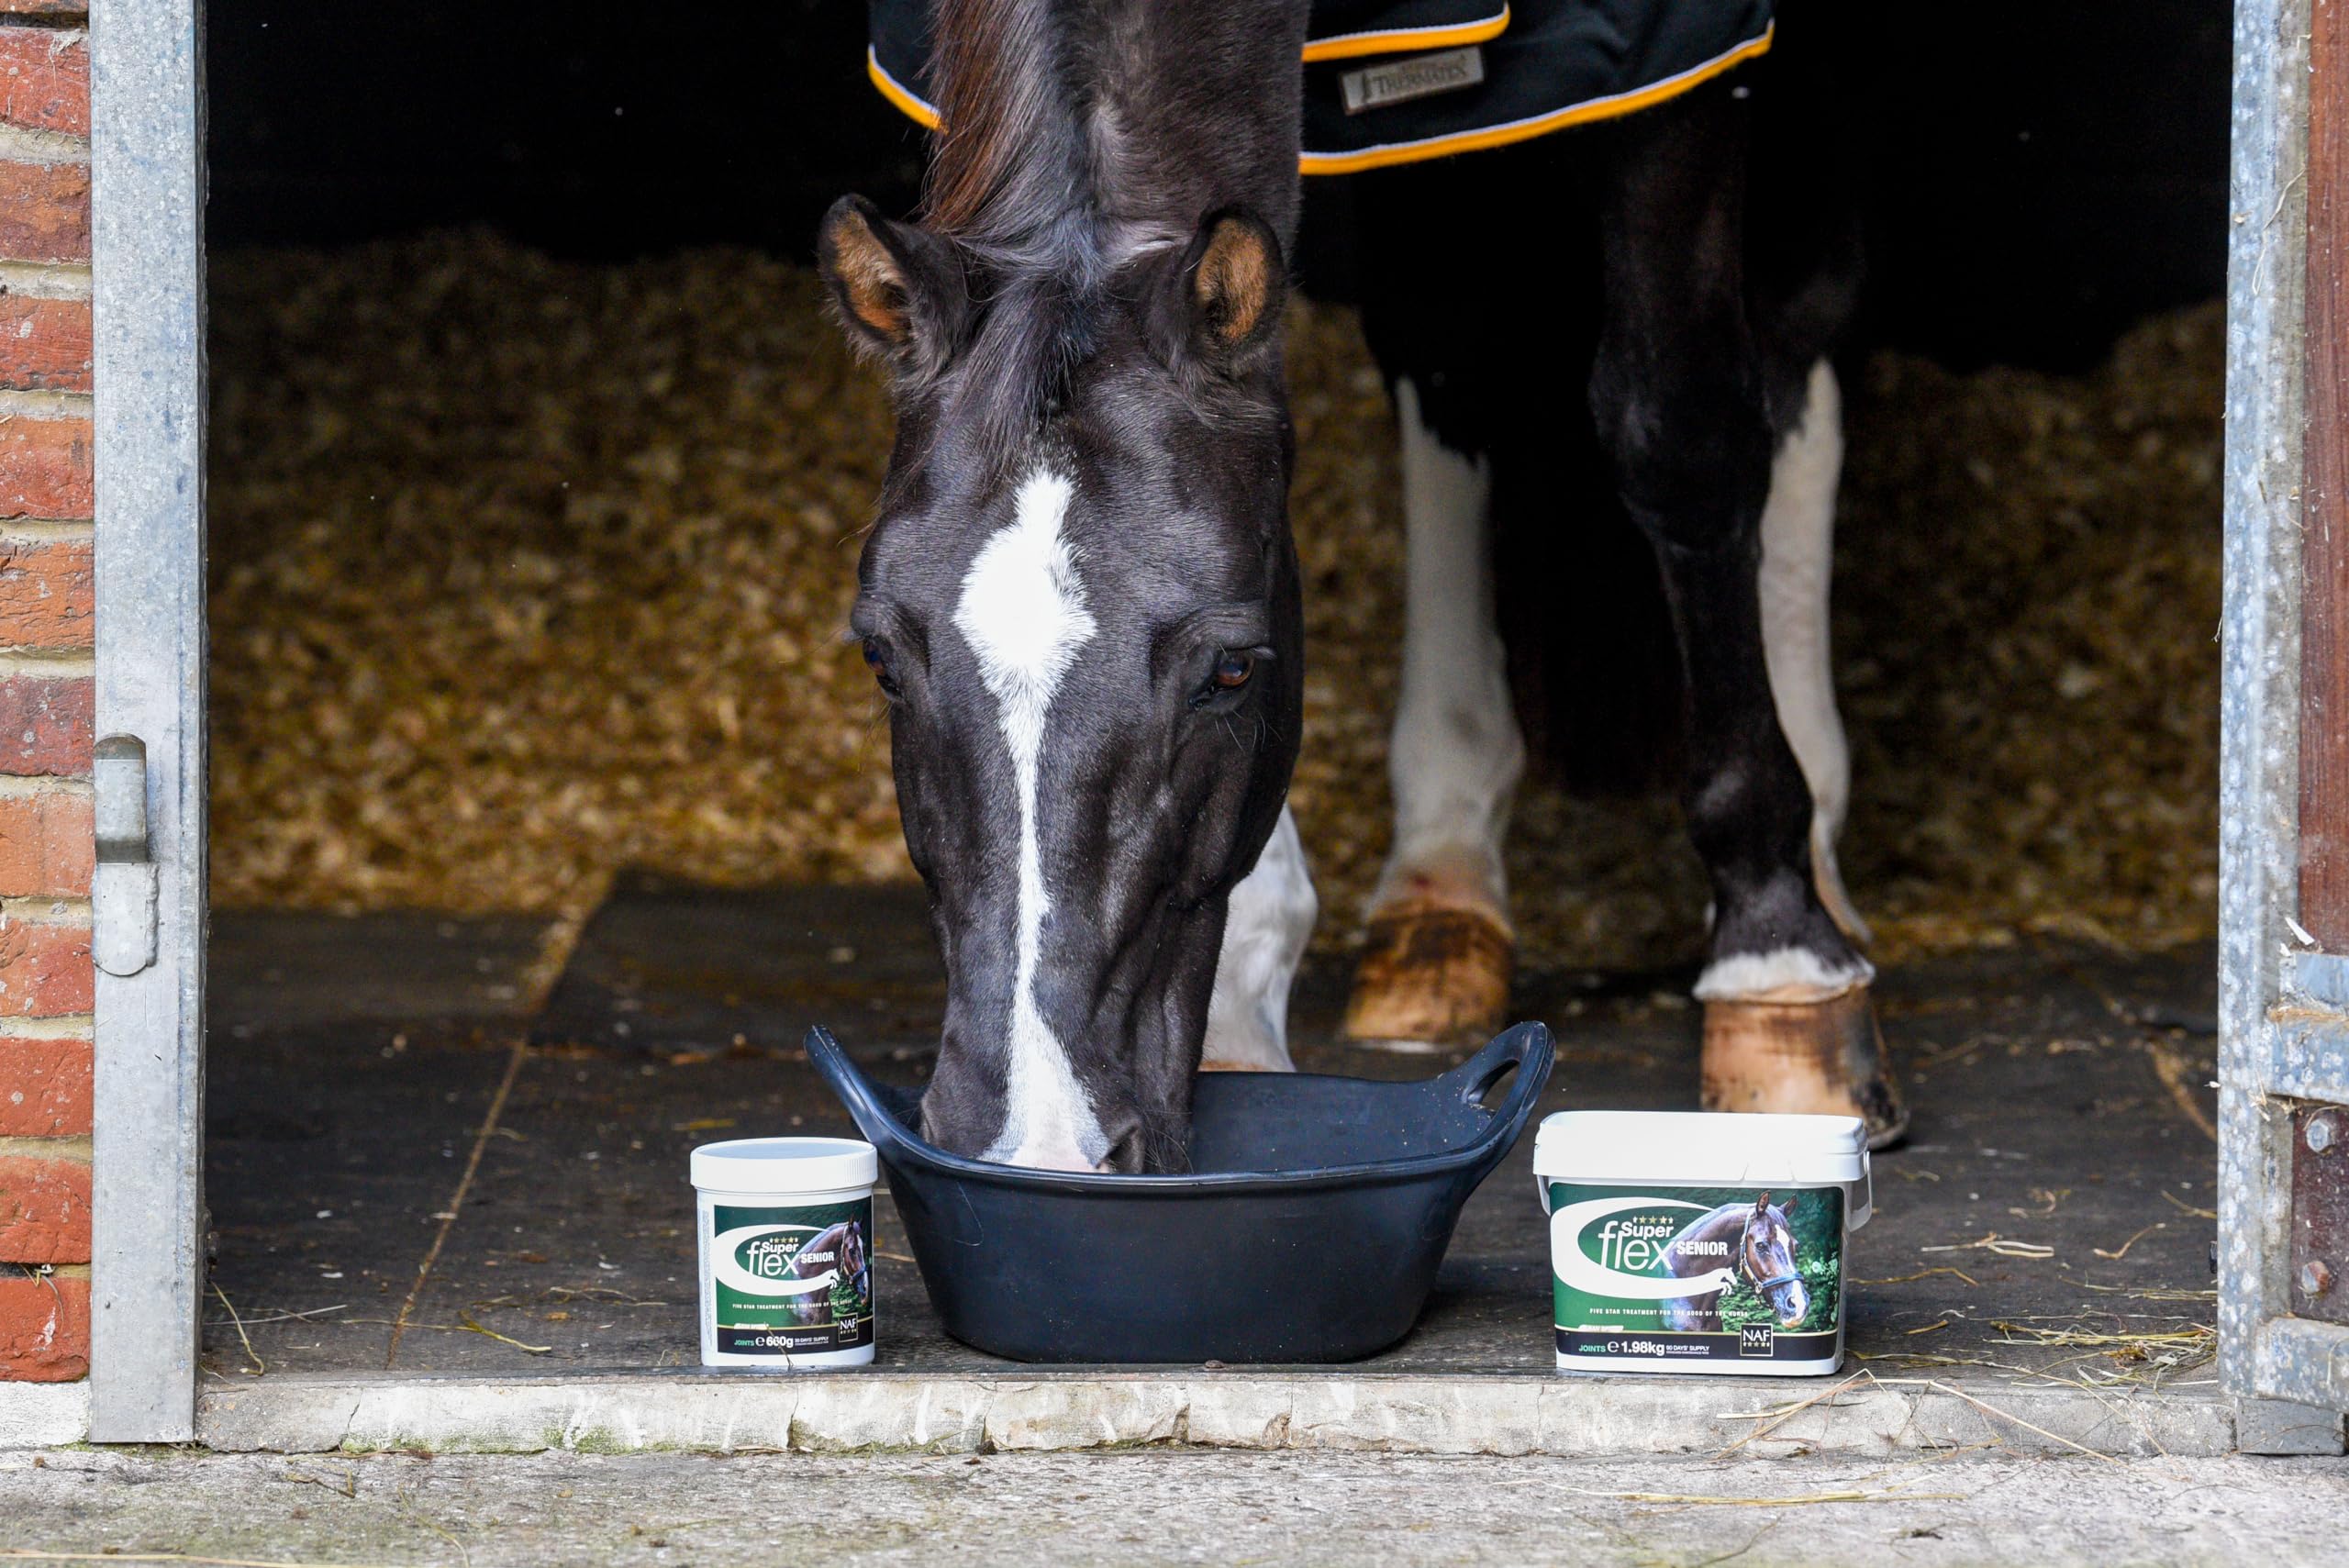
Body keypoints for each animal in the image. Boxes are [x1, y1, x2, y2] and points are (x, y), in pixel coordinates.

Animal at [820, 0, 1902, 1172]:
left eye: (1233, 669)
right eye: (881, 660)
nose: (1043, 1138)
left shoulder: (1675, 58)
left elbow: (1682, 426)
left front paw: (1776, 949)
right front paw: (1245, 999)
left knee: (1793, 327)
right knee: (1451, 351)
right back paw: (1443, 882)